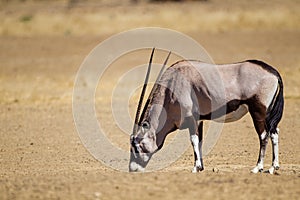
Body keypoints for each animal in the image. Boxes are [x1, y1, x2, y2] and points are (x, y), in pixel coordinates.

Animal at [129, 48, 284, 173]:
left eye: (136, 146)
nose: (133, 169)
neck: (172, 85)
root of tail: (273, 72)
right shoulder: (199, 120)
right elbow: (200, 141)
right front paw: (201, 167)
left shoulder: (191, 119)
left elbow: (193, 140)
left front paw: (195, 168)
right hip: (268, 113)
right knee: (274, 132)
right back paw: (273, 167)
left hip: (258, 111)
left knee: (263, 135)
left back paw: (258, 167)